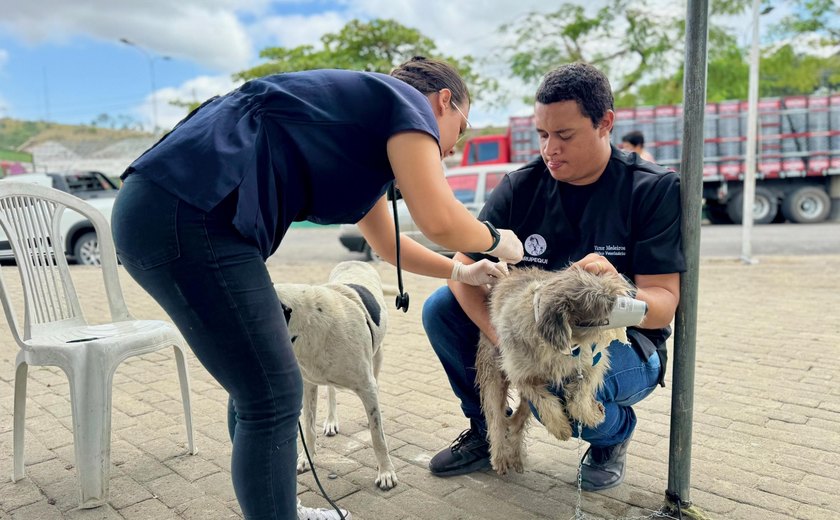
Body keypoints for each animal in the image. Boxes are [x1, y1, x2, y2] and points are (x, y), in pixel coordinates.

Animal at [272, 262, 398, 490]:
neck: (307, 324)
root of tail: (355, 262)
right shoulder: (308, 384)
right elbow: (308, 426)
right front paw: (305, 458)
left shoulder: (367, 388)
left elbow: (378, 437)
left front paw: (386, 472)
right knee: (331, 392)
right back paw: (331, 421)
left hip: (378, 357)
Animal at [480, 266, 632, 474]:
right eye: (608, 303)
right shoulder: (522, 374)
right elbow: (544, 400)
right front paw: (560, 427)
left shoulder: (592, 363)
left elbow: (581, 394)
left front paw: (591, 414)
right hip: (494, 378)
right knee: (497, 419)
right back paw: (501, 456)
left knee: (517, 422)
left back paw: (516, 455)